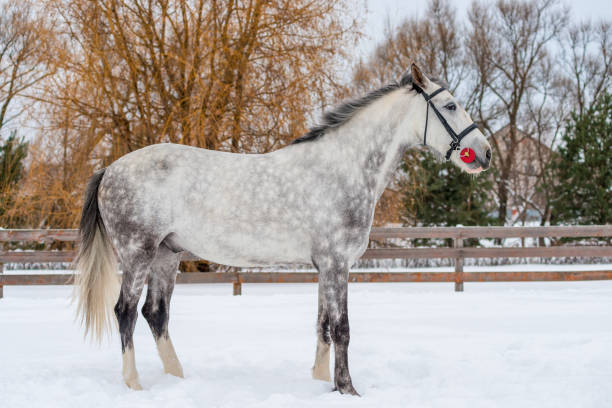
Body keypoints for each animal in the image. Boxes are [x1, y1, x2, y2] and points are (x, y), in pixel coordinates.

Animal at [74, 63, 492, 396]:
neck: (341, 168)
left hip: (167, 254)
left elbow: (323, 325)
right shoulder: (337, 264)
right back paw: (134, 384)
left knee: (156, 313)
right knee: (126, 311)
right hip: (138, 253)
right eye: (451, 105)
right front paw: (347, 389)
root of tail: (109, 169)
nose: (485, 153)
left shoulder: (325, 266)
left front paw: (321, 382)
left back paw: (177, 379)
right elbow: (341, 328)